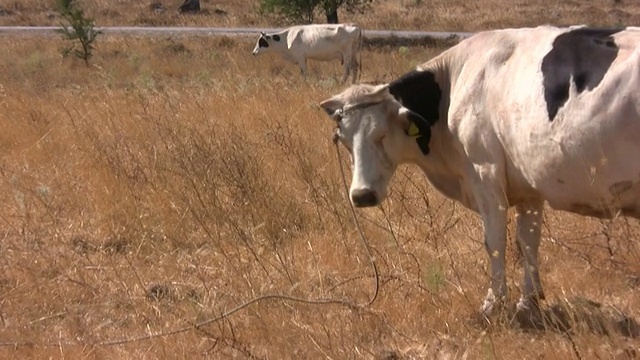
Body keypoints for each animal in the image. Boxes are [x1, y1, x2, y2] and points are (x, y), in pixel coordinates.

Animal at [320, 26, 640, 316]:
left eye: (382, 135)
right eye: (344, 140)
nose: (362, 195)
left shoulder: (485, 175)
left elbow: (494, 241)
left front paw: (492, 304)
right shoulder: (529, 186)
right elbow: (528, 241)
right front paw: (528, 302)